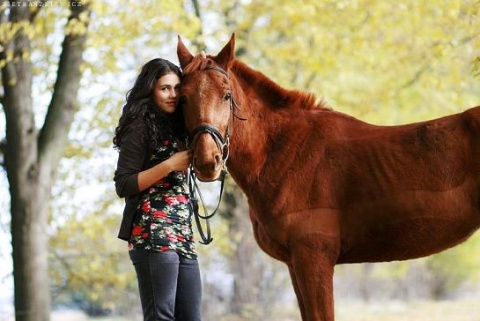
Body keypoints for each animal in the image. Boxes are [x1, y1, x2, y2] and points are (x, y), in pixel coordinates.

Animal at [177, 33, 480, 318]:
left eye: (227, 96)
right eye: (182, 98)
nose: (207, 161)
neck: (285, 149)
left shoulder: (314, 257)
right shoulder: (294, 263)